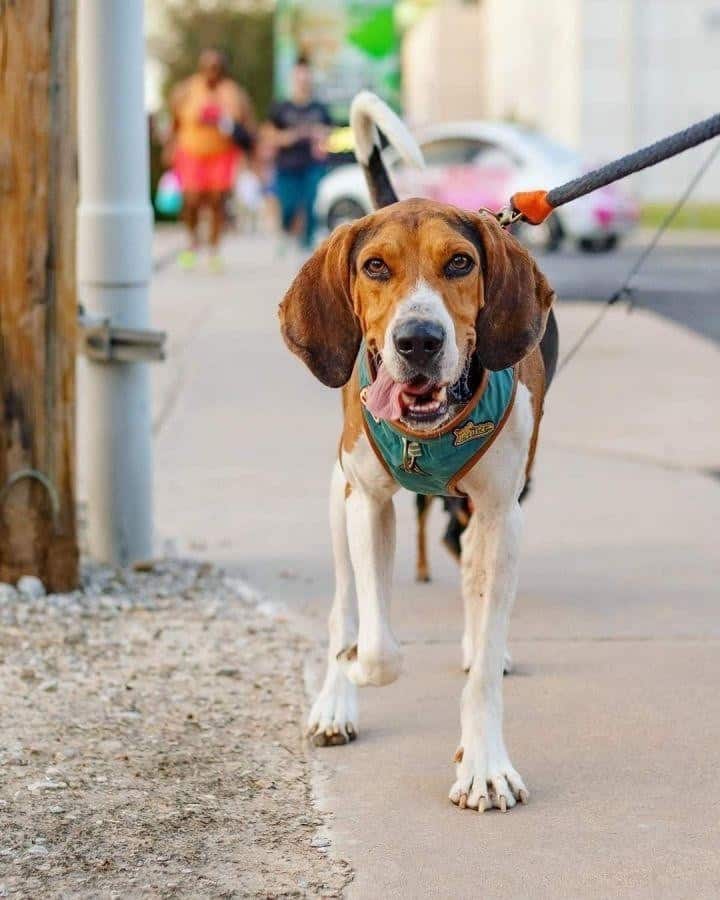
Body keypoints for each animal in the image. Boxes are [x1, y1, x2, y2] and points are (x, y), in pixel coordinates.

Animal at [280, 95, 556, 812]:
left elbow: (484, 661)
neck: (432, 429)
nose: (420, 340)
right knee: (344, 608)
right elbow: (377, 646)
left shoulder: (503, 514)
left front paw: (483, 763)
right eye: (375, 266)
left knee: (469, 585)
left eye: (459, 263)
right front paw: (357, 670)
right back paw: (335, 697)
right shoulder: (368, 501)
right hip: (338, 497)